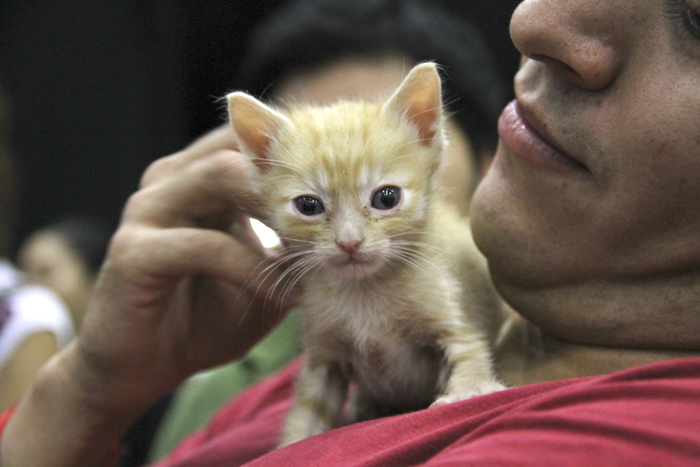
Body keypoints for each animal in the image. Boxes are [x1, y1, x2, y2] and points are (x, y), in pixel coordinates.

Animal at [227, 62, 506, 446]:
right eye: (308, 206)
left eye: (386, 198)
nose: (349, 242)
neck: (365, 293)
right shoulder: (324, 356)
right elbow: (307, 414)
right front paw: (295, 441)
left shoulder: (455, 322)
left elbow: (470, 357)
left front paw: (468, 392)